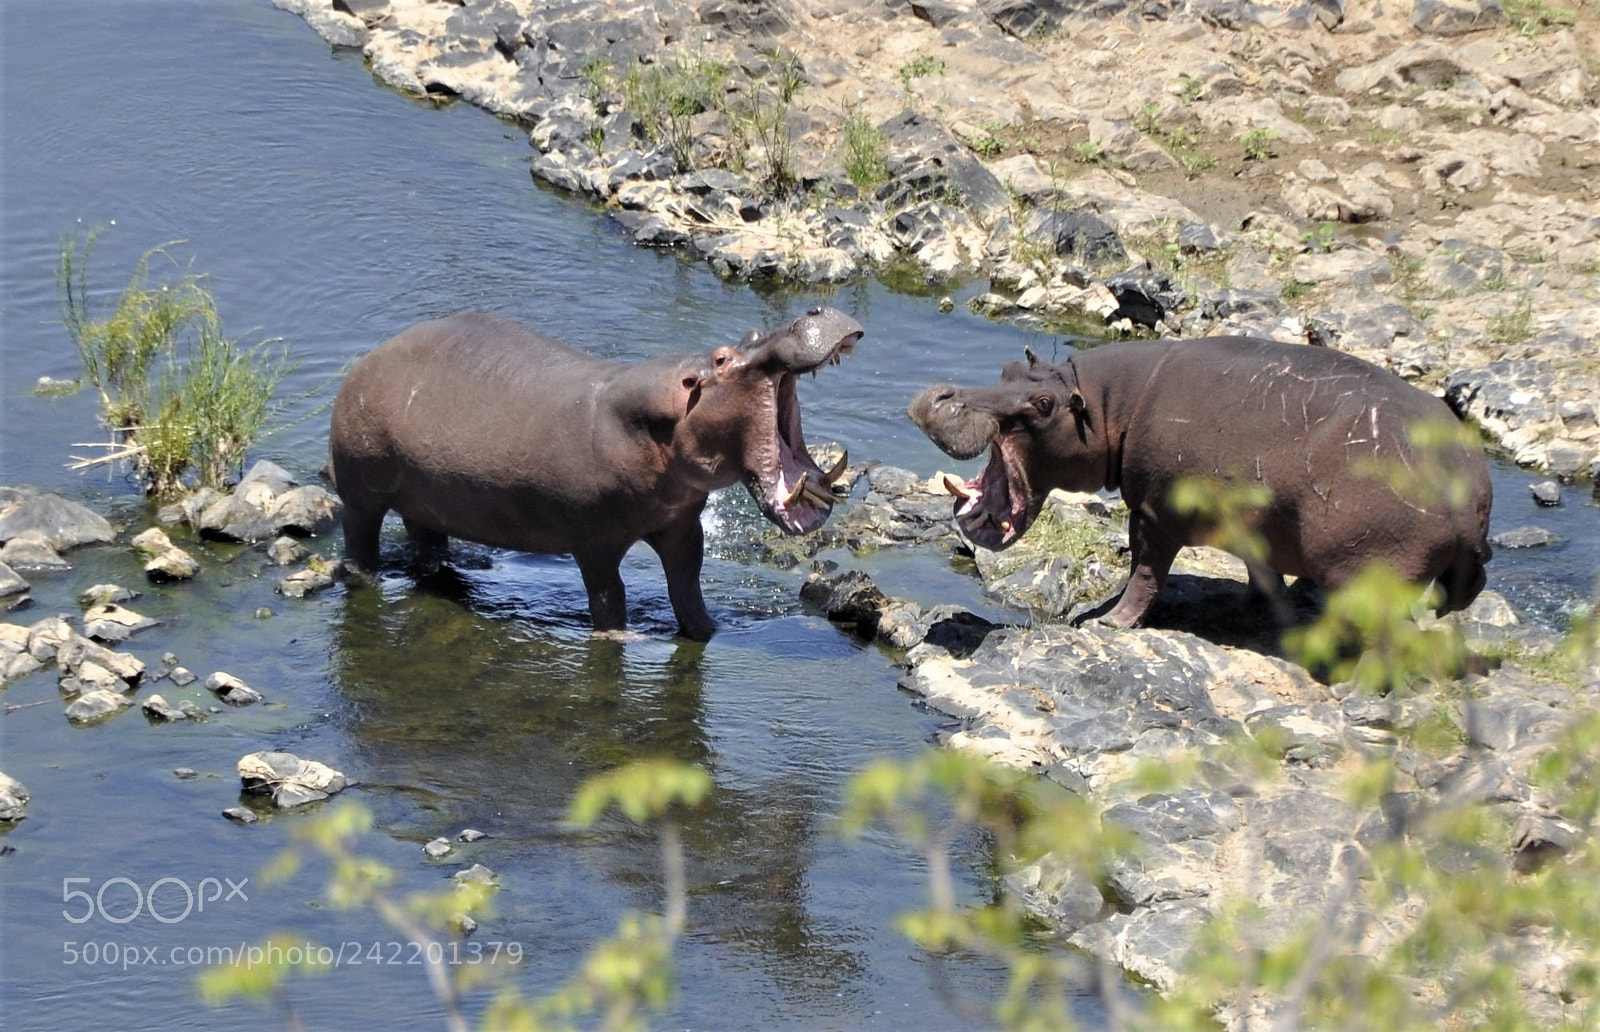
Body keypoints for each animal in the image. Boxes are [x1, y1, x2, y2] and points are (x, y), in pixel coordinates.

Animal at [330, 307, 862, 640]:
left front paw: (706, 631)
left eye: (751, 332)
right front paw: (619, 637)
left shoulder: (682, 524)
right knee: (359, 537)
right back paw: (365, 578)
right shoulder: (595, 540)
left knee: (426, 537)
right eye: (721, 358)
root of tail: (371, 357)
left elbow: (687, 584)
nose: (814, 311)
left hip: (427, 497)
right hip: (361, 491)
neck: (667, 413)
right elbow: (610, 595)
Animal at [909, 337, 1492, 628]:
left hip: (1371, 574)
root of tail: (1473, 496)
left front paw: (1108, 622)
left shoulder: (1154, 512)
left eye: (1043, 403)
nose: (942, 395)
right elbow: (1260, 571)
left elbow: (1145, 573)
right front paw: (1258, 610)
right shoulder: (1249, 526)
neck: (1103, 405)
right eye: (1009, 367)